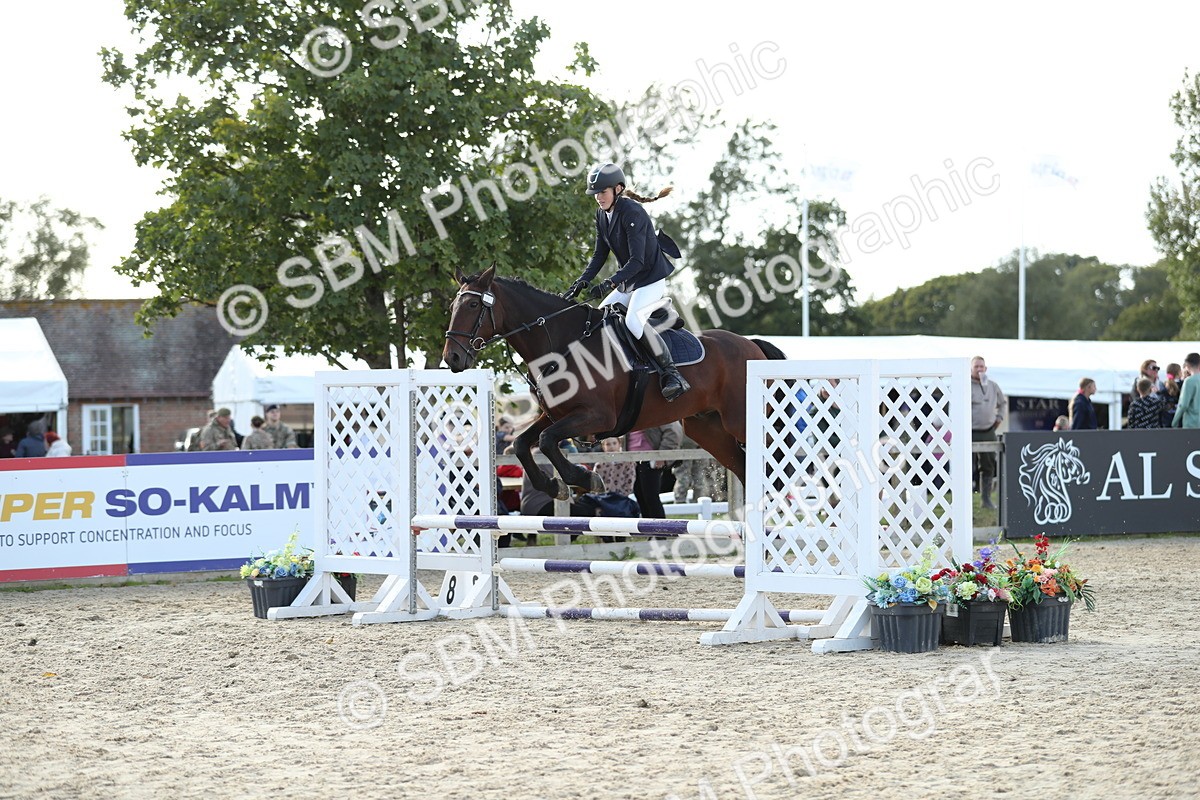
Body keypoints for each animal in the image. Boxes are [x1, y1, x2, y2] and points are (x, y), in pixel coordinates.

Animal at [443, 265, 786, 502]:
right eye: (451, 308)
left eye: (473, 306)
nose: (452, 359)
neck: (565, 343)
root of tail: (751, 344)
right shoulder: (556, 415)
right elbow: (522, 443)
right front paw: (556, 487)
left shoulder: (597, 417)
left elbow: (547, 441)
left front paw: (585, 479)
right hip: (707, 428)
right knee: (745, 467)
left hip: (741, 420)